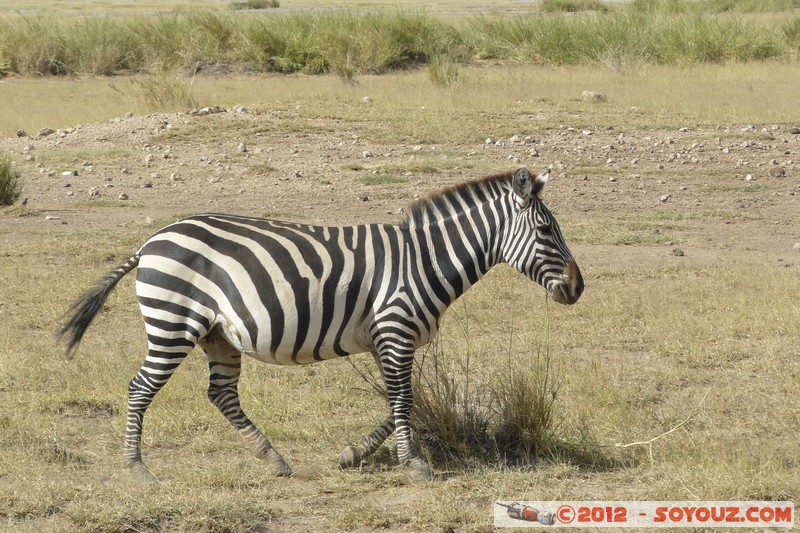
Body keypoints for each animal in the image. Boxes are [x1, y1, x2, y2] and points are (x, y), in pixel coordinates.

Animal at [56, 165, 580, 478]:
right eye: (544, 230)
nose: (579, 288)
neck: (423, 259)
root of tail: (151, 241)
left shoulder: (387, 339)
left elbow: (395, 404)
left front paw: (352, 455)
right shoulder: (395, 331)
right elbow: (404, 401)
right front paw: (412, 463)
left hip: (218, 334)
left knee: (221, 393)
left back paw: (273, 458)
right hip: (173, 324)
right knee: (140, 388)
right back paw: (136, 466)